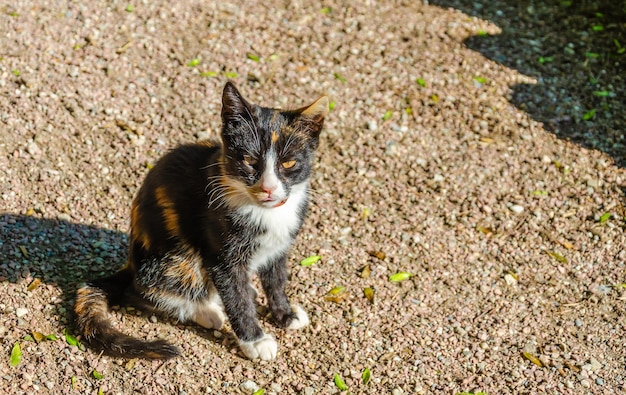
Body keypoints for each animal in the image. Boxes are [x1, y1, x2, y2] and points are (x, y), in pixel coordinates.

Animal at [73, 83, 326, 362]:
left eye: (289, 162)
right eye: (249, 160)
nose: (269, 188)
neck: (263, 211)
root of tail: (130, 264)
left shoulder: (279, 246)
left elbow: (277, 280)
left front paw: (285, 313)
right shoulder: (222, 256)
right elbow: (236, 297)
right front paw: (256, 341)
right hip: (176, 257)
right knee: (140, 290)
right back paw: (207, 312)